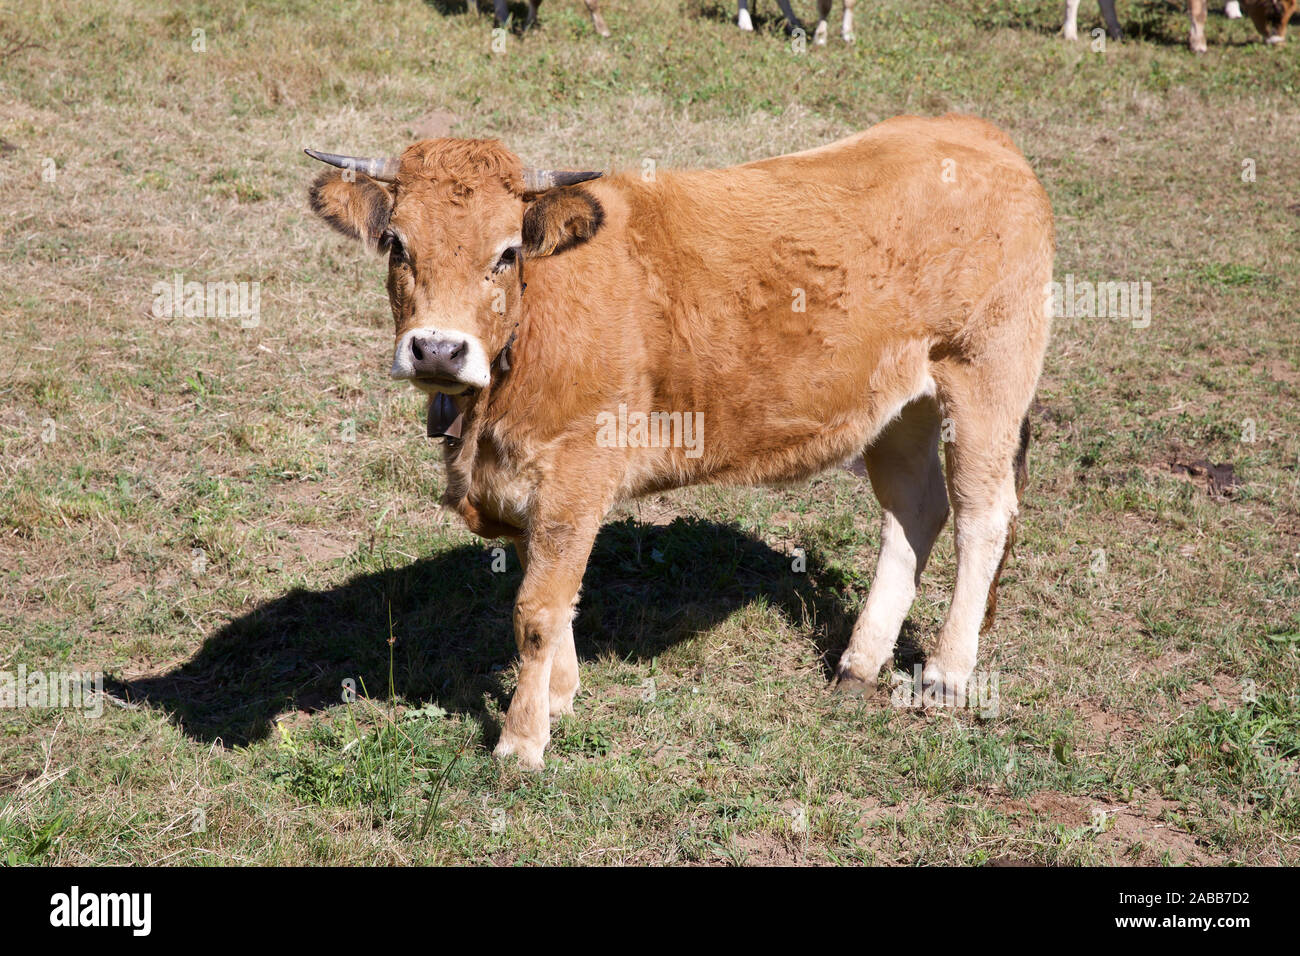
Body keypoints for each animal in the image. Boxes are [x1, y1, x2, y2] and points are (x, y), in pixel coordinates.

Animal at [304, 114, 1054, 769]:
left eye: (507, 251)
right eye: (397, 244)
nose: (437, 348)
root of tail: (971, 131)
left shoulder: (576, 471)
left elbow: (537, 610)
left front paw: (522, 741)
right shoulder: (525, 490)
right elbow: (554, 595)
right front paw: (561, 695)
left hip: (985, 373)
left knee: (982, 517)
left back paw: (947, 675)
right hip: (897, 405)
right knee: (915, 511)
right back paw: (858, 663)